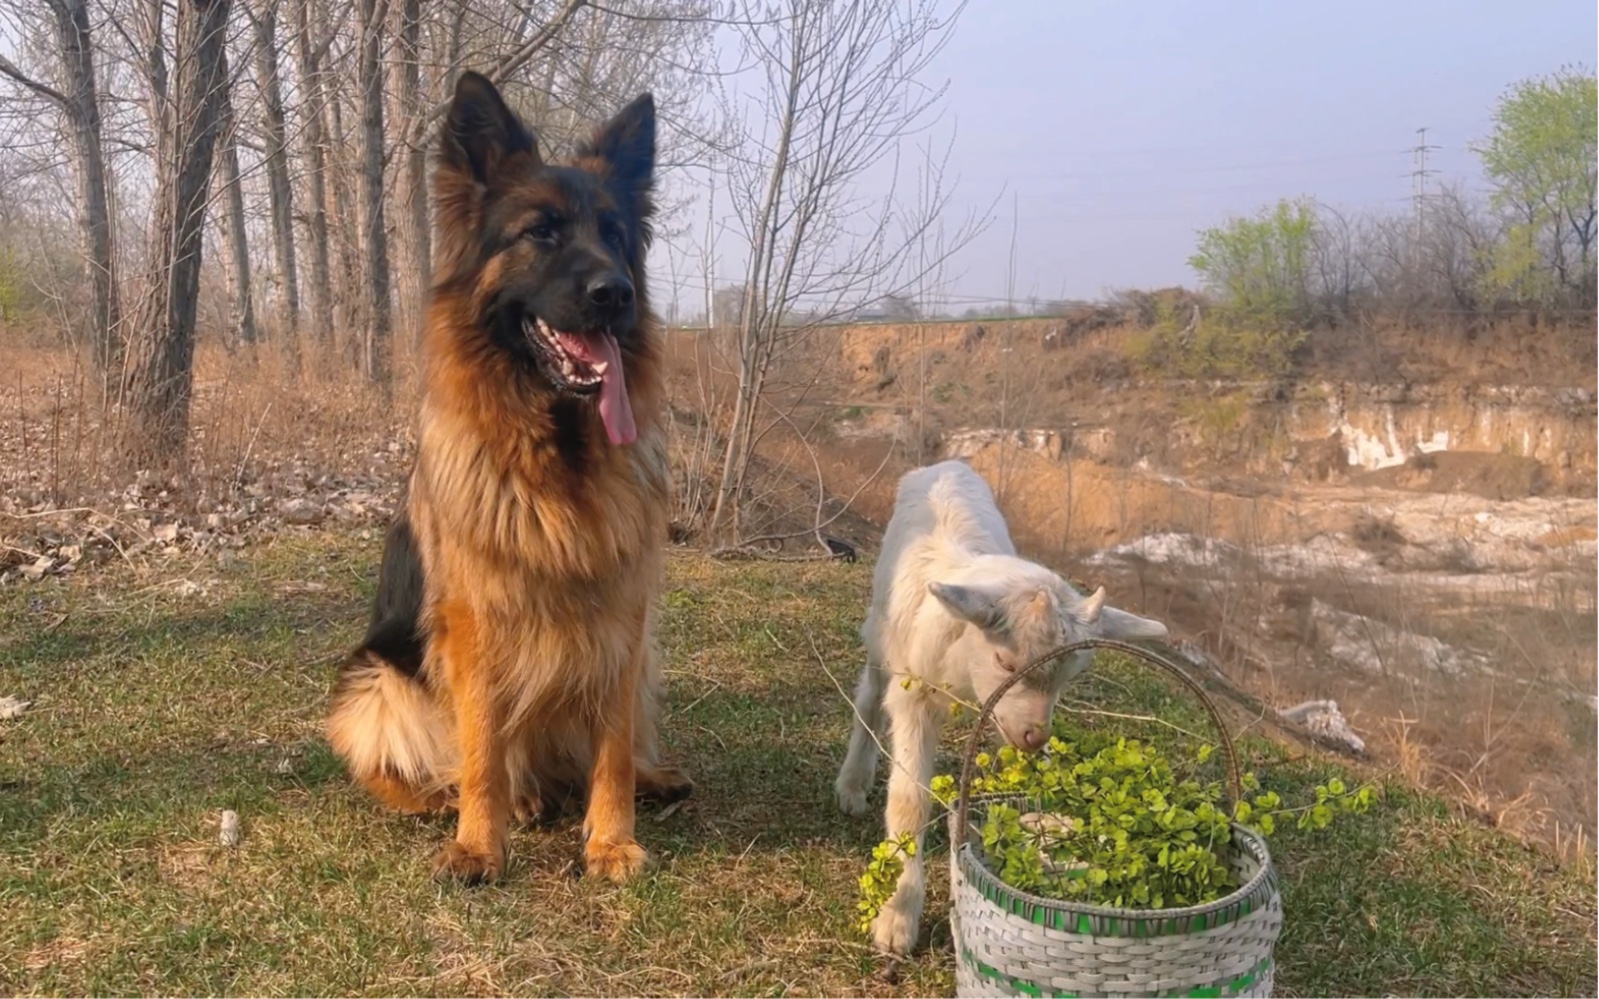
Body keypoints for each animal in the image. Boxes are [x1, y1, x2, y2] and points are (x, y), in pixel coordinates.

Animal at [327, 71, 690, 882]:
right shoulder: (474, 625)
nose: (615, 293)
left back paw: (648, 778)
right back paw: (482, 800)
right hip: (377, 683)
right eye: (540, 232)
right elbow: (484, 746)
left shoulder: (623, 623)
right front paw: (478, 842)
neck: (557, 461)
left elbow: (610, 748)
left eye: (614, 235)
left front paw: (610, 839)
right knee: (423, 764)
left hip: (647, 660)